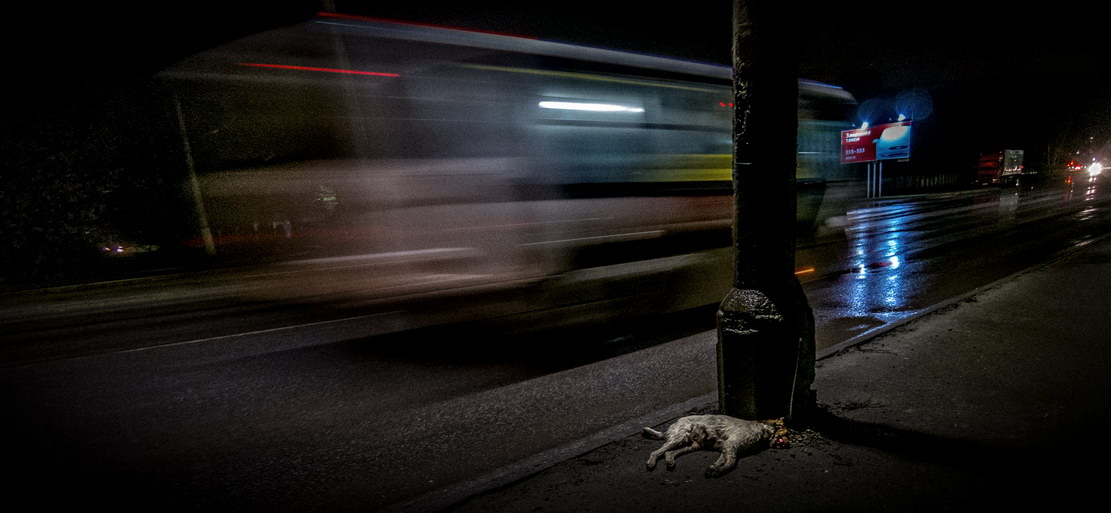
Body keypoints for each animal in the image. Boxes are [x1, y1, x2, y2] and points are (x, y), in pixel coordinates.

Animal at [644, 413, 791, 477]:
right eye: (787, 433)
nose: (789, 444)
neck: (762, 430)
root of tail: (674, 423)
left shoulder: (726, 448)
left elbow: (721, 460)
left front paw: (714, 468)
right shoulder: (731, 446)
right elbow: (731, 462)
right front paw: (721, 470)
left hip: (692, 445)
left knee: (669, 452)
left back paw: (670, 462)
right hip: (679, 438)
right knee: (657, 451)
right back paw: (651, 463)